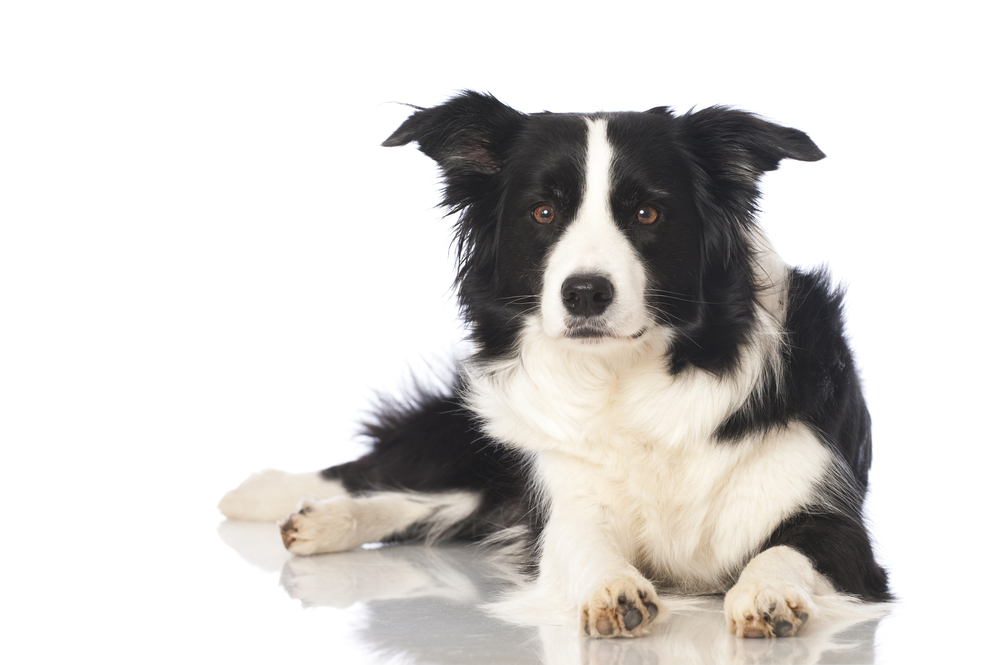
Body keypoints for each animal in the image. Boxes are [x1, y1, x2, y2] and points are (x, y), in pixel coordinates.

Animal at [221, 93, 892, 640]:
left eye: (647, 214)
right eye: (543, 213)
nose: (586, 293)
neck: (627, 379)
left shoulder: (835, 519)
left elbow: (784, 552)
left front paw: (766, 593)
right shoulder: (567, 499)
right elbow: (585, 545)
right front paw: (614, 589)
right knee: (387, 470)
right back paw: (276, 499)